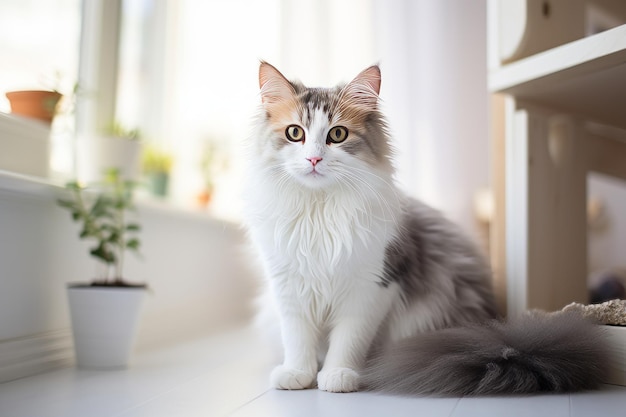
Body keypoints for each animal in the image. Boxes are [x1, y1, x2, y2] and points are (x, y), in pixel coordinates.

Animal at [243, 61, 604, 394]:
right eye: (295, 133)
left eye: (337, 135)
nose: (314, 160)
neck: (318, 210)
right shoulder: (288, 285)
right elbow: (297, 338)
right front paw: (298, 374)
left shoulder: (372, 285)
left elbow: (348, 339)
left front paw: (338, 375)